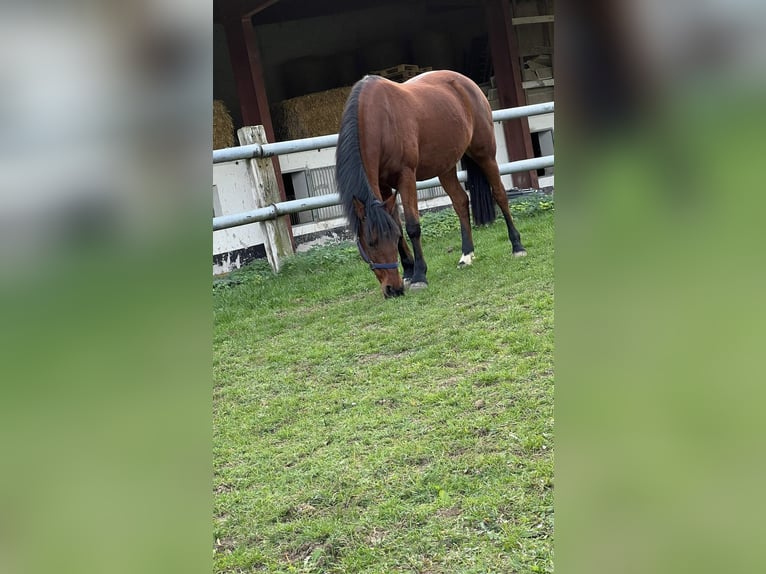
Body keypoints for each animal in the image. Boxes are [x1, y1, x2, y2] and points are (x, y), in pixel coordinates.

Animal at [338, 70, 528, 300]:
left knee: (500, 194)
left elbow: (412, 227)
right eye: (371, 242)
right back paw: (466, 255)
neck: (381, 121)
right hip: (445, 167)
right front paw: (408, 271)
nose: (393, 289)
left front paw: (419, 276)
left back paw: (517, 246)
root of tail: (466, 82)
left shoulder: (406, 176)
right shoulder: (383, 186)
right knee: (460, 202)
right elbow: (397, 223)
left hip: (485, 154)